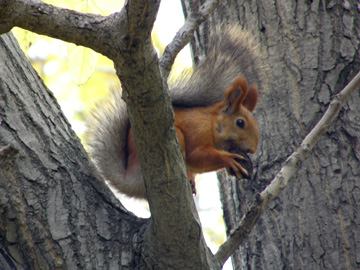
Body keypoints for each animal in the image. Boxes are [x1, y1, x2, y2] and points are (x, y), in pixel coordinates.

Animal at [86, 25, 268, 198]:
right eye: (240, 122)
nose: (252, 150)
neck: (212, 123)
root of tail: (131, 178)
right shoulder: (197, 131)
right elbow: (196, 156)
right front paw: (228, 159)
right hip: (175, 138)